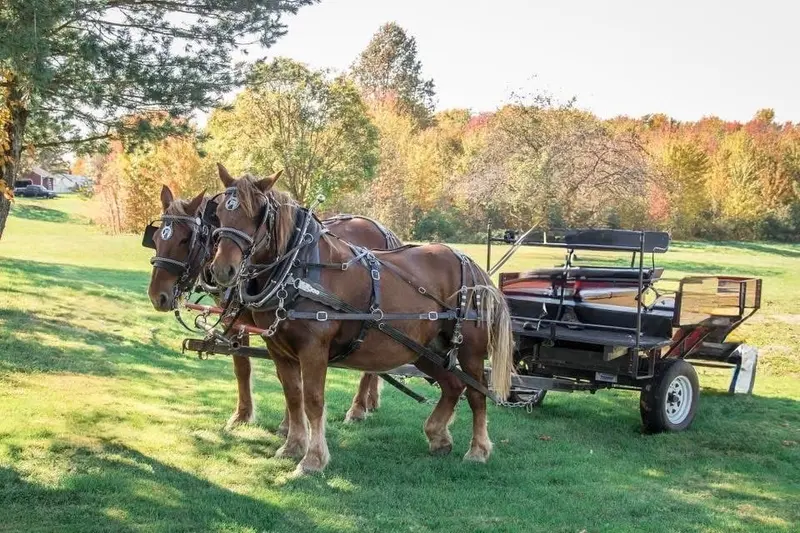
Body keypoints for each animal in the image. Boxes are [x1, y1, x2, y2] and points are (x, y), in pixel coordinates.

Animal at [145, 183, 404, 431]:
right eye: (155, 239)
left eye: (185, 240)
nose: (158, 296)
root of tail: (384, 230)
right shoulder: (238, 321)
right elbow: (244, 366)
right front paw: (243, 415)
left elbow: (286, 376)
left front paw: (287, 424)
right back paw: (371, 401)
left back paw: (358, 408)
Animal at [208, 165, 513, 474]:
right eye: (219, 211)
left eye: (257, 213)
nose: (222, 270)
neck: (300, 268)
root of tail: (470, 264)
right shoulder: (279, 349)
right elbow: (293, 396)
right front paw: (292, 447)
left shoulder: (313, 349)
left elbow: (313, 400)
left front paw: (313, 459)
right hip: (423, 348)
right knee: (452, 385)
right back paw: (437, 435)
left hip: (469, 350)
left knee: (476, 393)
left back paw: (478, 449)